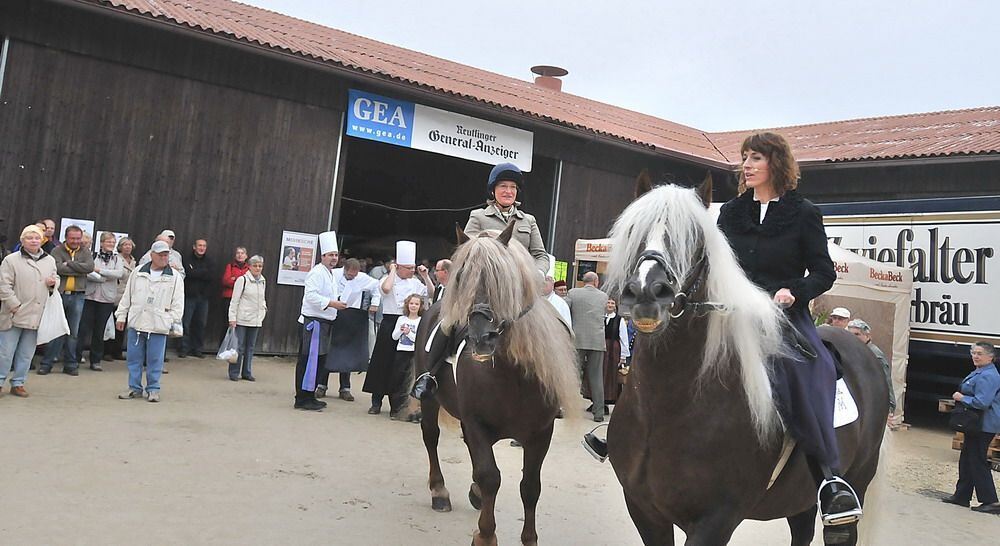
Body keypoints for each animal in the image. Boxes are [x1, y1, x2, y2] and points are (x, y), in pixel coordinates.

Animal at [412, 221, 580, 544]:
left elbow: (530, 486)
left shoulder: (541, 432)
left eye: (503, 278)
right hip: (430, 400)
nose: (482, 338)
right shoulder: (477, 422)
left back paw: (473, 494)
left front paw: (529, 538)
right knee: (431, 436)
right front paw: (486, 534)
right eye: (461, 275)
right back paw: (439, 491)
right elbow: (491, 476)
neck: (511, 376)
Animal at [604, 183, 888, 544]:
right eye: (633, 231)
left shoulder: (716, 519)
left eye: (695, 239)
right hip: (801, 496)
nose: (645, 294)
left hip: (859, 479)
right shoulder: (643, 510)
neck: (667, 408)